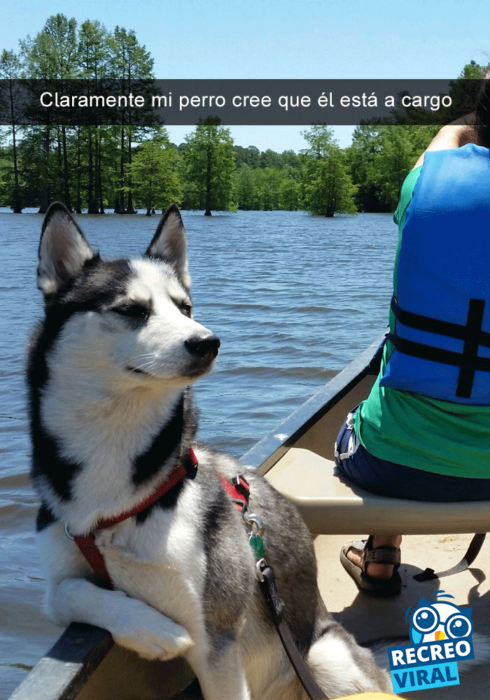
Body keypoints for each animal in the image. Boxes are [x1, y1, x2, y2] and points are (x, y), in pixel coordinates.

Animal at [29, 202, 390, 700]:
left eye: (184, 307)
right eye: (130, 309)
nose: (207, 341)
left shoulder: (217, 639)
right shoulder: (59, 577)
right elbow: (69, 592)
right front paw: (153, 630)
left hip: (325, 656)